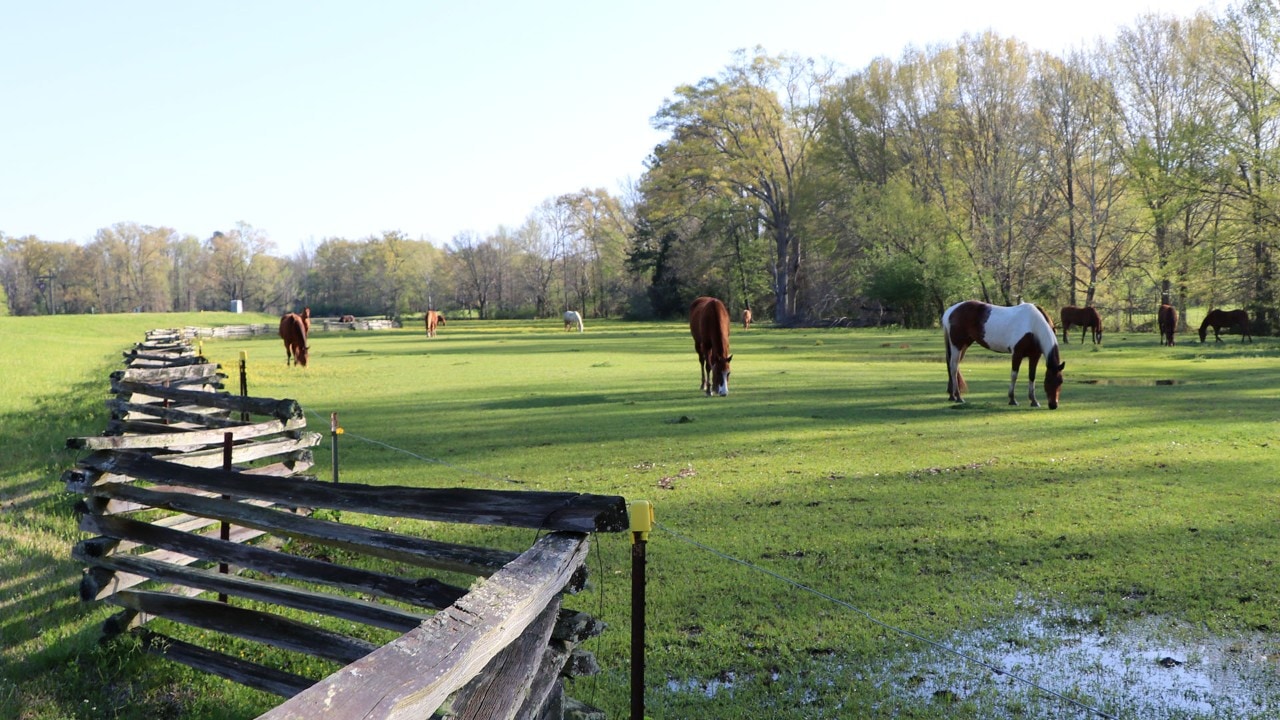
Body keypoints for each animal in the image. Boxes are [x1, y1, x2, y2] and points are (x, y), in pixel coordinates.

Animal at [942, 298, 1070, 409]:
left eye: (1061, 381)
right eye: (1048, 381)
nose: (1053, 405)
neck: (1033, 325)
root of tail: (951, 311)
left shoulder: (1035, 356)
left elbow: (1032, 376)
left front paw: (1034, 401)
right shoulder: (1017, 354)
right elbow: (1014, 375)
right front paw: (1012, 399)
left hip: (964, 345)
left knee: (953, 366)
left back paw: (952, 395)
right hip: (957, 345)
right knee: (953, 368)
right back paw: (958, 397)